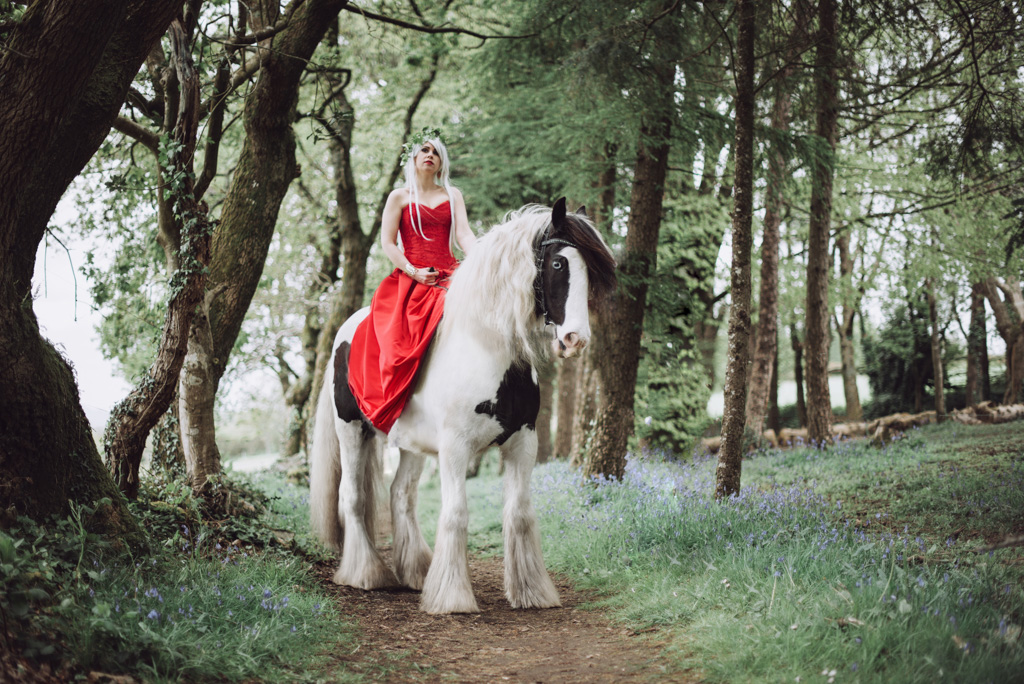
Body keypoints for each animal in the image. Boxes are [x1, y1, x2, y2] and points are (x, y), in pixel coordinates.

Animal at [309, 197, 614, 614]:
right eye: (557, 264)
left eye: (589, 269)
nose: (575, 339)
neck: (485, 349)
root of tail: (345, 330)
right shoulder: (455, 448)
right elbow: (455, 514)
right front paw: (453, 598)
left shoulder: (524, 443)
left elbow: (520, 514)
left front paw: (531, 591)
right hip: (352, 430)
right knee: (353, 497)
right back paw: (367, 574)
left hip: (411, 444)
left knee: (401, 496)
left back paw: (417, 572)